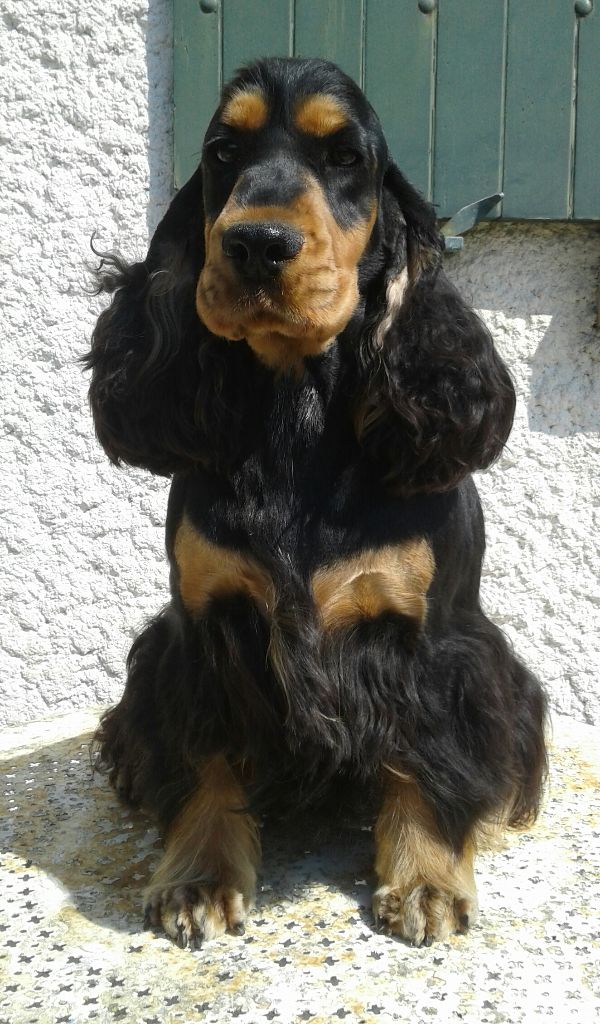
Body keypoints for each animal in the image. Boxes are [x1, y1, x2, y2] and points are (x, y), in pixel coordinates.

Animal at [85, 57, 547, 949]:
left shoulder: (431, 641)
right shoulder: (204, 632)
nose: (256, 243)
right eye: (223, 152)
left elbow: (426, 756)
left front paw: (426, 879)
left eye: (344, 159)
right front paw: (199, 875)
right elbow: (206, 755)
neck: (295, 406)